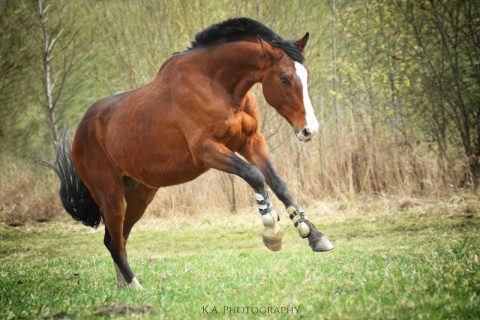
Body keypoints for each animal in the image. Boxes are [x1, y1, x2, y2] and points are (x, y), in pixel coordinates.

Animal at [48, 16, 334, 290]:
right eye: (285, 78)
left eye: (306, 75)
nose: (309, 130)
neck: (217, 84)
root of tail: (81, 131)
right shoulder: (206, 150)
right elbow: (254, 176)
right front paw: (272, 231)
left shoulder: (251, 141)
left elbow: (278, 183)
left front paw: (314, 236)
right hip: (110, 195)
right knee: (114, 242)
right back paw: (135, 286)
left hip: (139, 195)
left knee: (116, 238)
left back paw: (123, 286)